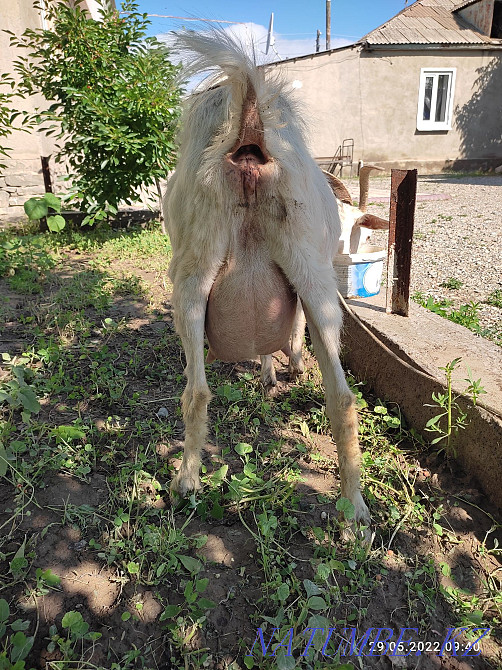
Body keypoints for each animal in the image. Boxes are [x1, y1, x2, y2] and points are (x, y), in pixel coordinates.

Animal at [163, 31, 370, 531]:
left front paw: (271, 373)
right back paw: (355, 510)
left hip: (193, 274)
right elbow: (287, 333)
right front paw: (282, 369)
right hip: (314, 278)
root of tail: (249, 139)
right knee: (342, 397)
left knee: (196, 390)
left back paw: (187, 482)